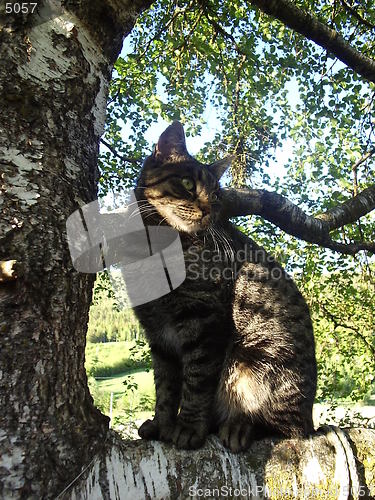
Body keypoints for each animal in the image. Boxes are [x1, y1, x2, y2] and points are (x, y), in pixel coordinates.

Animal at [132, 122, 318, 454]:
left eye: (217, 196)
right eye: (187, 183)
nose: (208, 209)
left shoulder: (205, 321)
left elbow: (196, 382)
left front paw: (188, 427)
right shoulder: (158, 337)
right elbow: (165, 388)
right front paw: (161, 424)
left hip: (256, 361)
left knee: (288, 429)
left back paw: (239, 427)